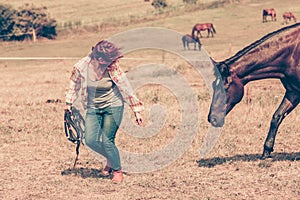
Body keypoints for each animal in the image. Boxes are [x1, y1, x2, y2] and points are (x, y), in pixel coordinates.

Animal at [209, 22, 300, 159]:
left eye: (225, 87)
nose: (212, 118)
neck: (293, 52)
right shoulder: (293, 92)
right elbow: (276, 117)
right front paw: (266, 151)